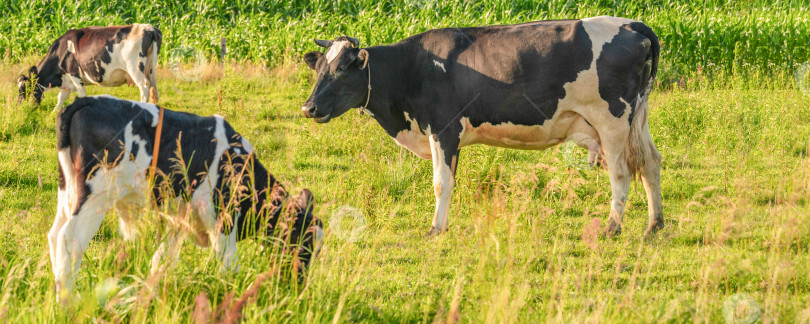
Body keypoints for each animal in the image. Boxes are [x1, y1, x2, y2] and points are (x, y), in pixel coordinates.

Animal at [17, 23, 161, 112]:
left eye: (24, 89)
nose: (20, 108)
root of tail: (149, 28)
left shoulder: (75, 74)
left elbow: (81, 95)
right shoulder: (67, 82)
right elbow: (60, 98)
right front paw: (54, 113)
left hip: (135, 68)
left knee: (144, 86)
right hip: (151, 69)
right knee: (153, 89)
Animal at [49, 95, 322, 302]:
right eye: (303, 242)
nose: (299, 286)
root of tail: (84, 101)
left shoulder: (179, 220)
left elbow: (162, 261)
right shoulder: (223, 220)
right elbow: (228, 266)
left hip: (68, 192)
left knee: (54, 235)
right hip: (95, 196)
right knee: (68, 239)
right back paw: (67, 302)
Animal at [304, 16, 664, 237]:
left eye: (341, 69)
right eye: (319, 68)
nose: (308, 108)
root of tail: (630, 23)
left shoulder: (444, 128)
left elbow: (440, 183)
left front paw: (435, 229)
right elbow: (450, 180)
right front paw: (442, 225)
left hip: (612, 119)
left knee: (621, 171)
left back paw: (612, 227)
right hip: (639, 117)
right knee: (650, 163)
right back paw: (654, 225)